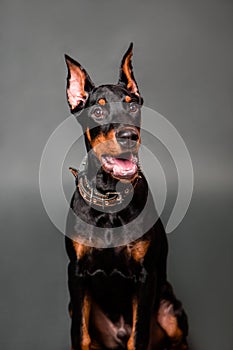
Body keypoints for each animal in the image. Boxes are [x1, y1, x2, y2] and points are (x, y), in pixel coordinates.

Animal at [64, 43, 188, 350]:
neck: (110, 200)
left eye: (132, 105)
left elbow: (138, 336)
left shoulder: (145, 277)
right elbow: (80, 335)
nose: (129, 135)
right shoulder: (76, 274)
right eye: (97, 111)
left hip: (170, 308)